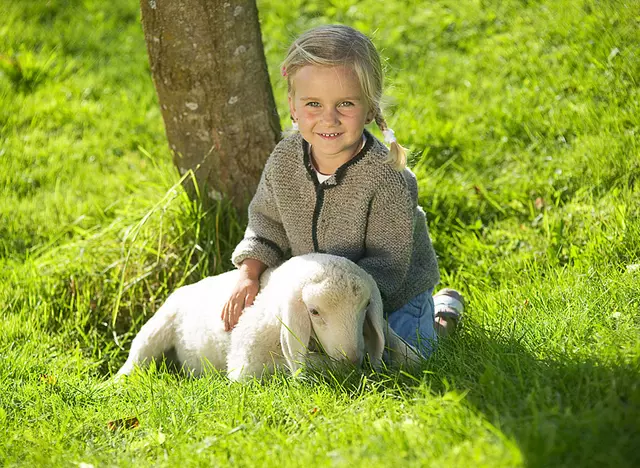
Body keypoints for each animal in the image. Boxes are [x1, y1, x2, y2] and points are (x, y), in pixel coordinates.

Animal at [116, 252, 420, 380]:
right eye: (314, 311)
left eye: (366, 306)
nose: (354, 358)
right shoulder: (246, 364)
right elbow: (308, 365)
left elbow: (410, 354)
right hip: (159, 324)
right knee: (137, 357)